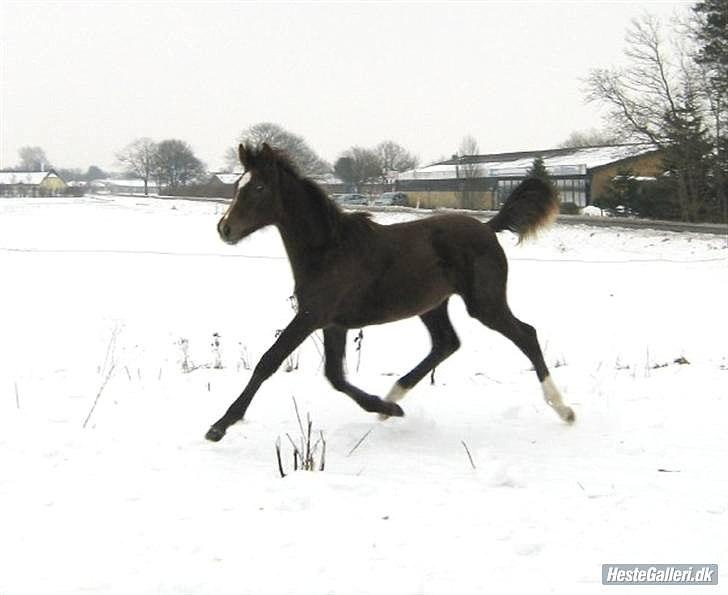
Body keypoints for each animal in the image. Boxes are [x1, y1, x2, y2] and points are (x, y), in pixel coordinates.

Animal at [205, 144, 576, 442]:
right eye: (237, 185)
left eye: (259, 187)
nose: (224, 229)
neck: (329, 249)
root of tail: (487, 227)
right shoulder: (334, 323)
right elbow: (335, 376)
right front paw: (382, 407)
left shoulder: (312, 315)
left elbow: (269, 361)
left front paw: (220, 425)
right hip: (432, 305)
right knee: (446, 343)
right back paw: (392, 400)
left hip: (484, 303)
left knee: (526, 334)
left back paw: (564, 409)